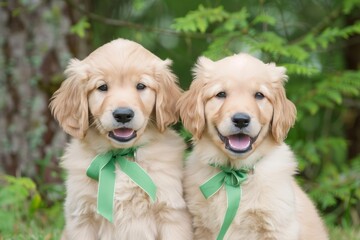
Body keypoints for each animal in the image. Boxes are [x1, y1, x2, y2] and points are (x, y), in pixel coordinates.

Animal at [50, 38, 194, 239]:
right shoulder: (82, 216)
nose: (123, 114)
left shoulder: (171, 212)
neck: (120, 157)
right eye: (102, 87)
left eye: (141, 86)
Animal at [178, 54, 330, 240]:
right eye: (221, 94)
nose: (241, 120)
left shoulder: (278, 226)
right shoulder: (202, 227)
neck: (234, 175)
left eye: (259, 95)